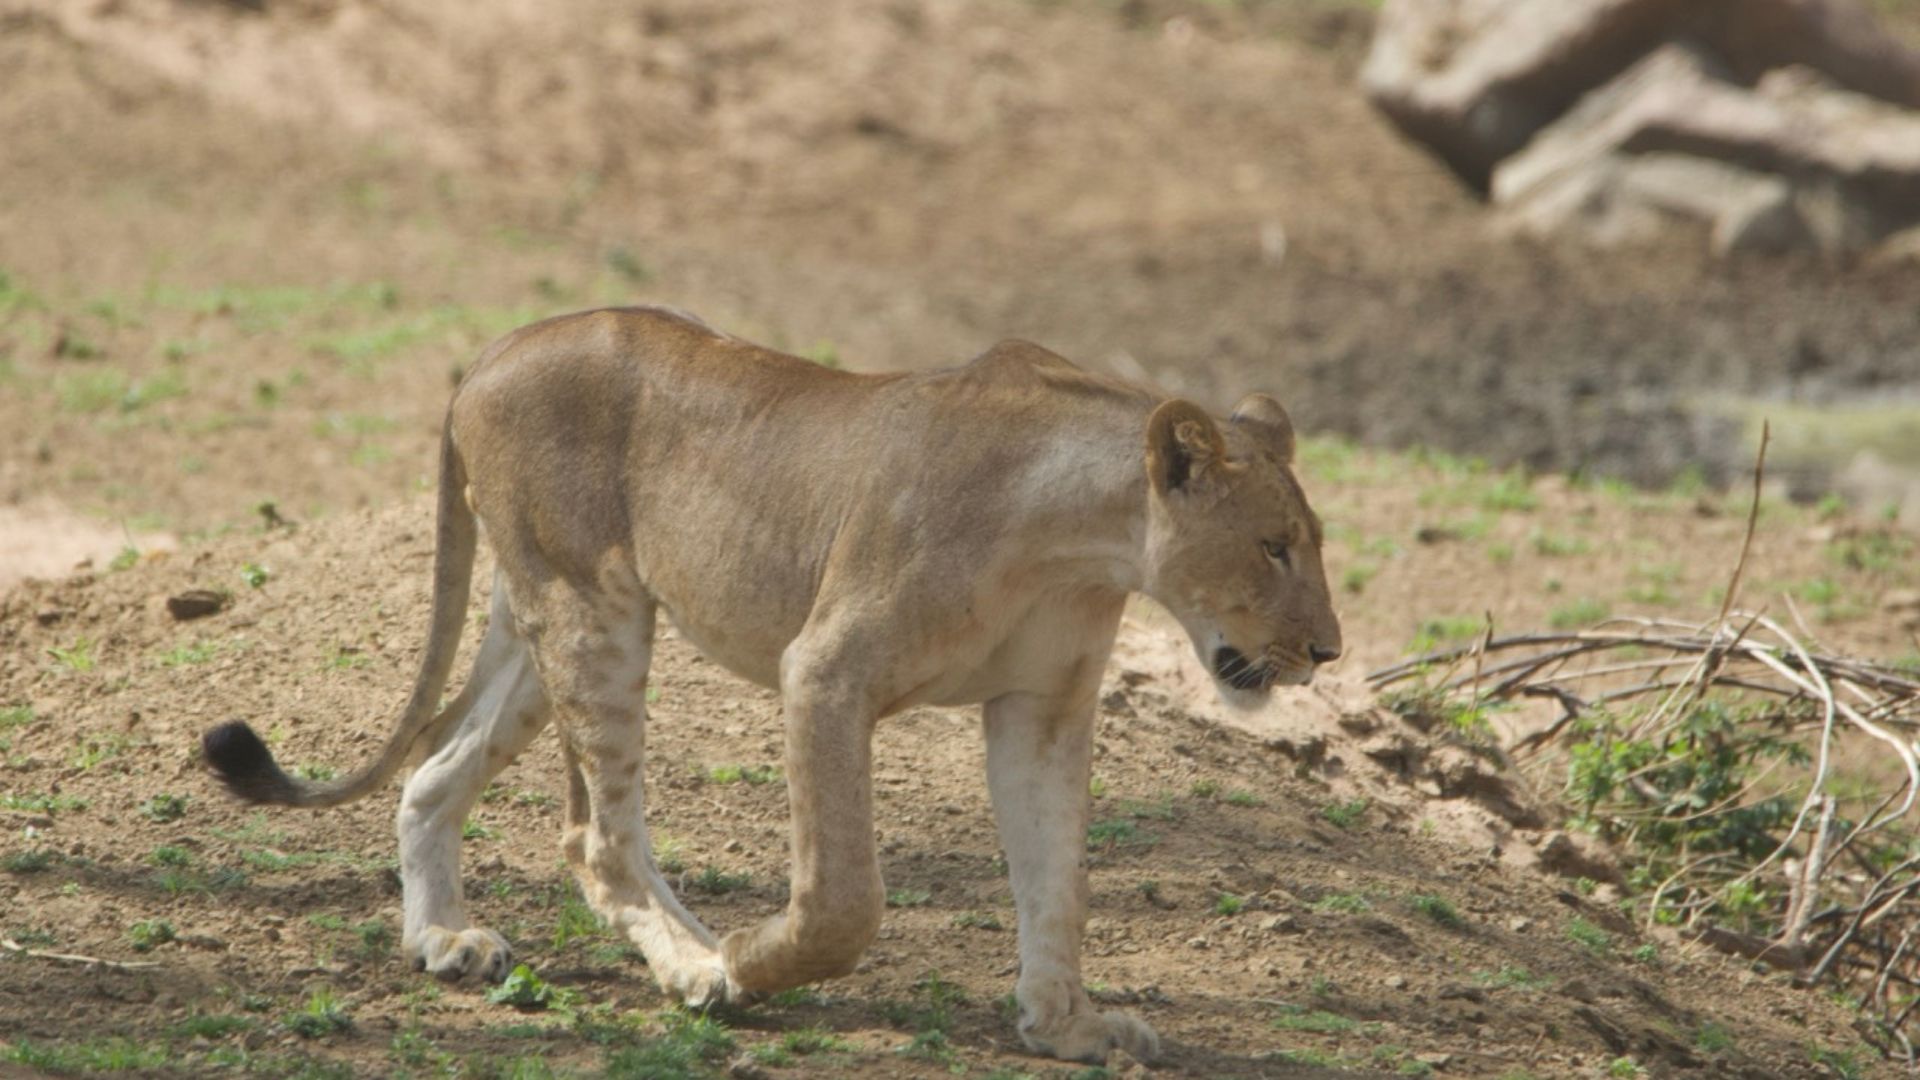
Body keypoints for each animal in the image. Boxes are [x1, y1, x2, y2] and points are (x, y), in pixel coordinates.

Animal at [202, 306, 1342, 1064]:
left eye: (1313, 544)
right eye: (1274, 547)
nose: (1328, 650)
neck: (1083, 541)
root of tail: (495, 349)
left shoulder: (1043, 710)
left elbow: (1058, 882)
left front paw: (1066, 1026)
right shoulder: (824, 672)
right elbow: (844, 899)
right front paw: (751, 963)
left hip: (536, 628)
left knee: (436, 773)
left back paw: (446, 940)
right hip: (594, 614)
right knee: (596, 840)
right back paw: (698, 966)